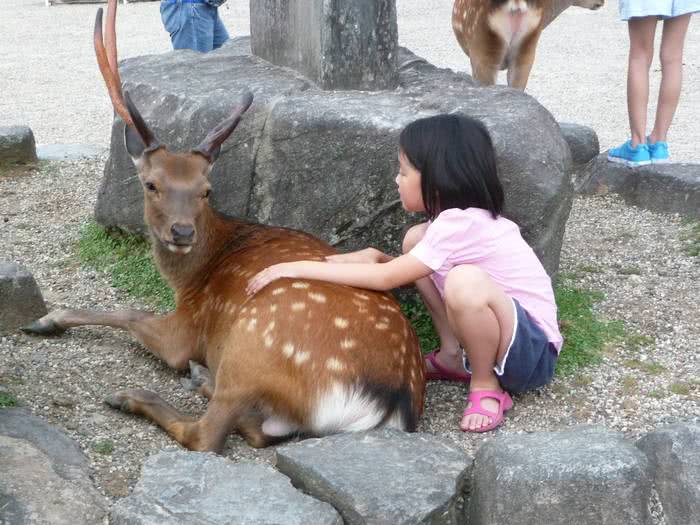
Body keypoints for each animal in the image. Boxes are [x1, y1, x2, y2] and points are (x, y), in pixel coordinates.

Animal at [23, 0, 426, 450]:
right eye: (151, 184)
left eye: (206, 190)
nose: (182, 233)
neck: (192, 277)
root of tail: (384, 405)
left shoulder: (186, 329)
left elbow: (131, 313)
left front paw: (47, 319)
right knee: (258, 431)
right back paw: (200, 379)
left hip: (249, 348)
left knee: (207, 434)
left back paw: (139, 394)